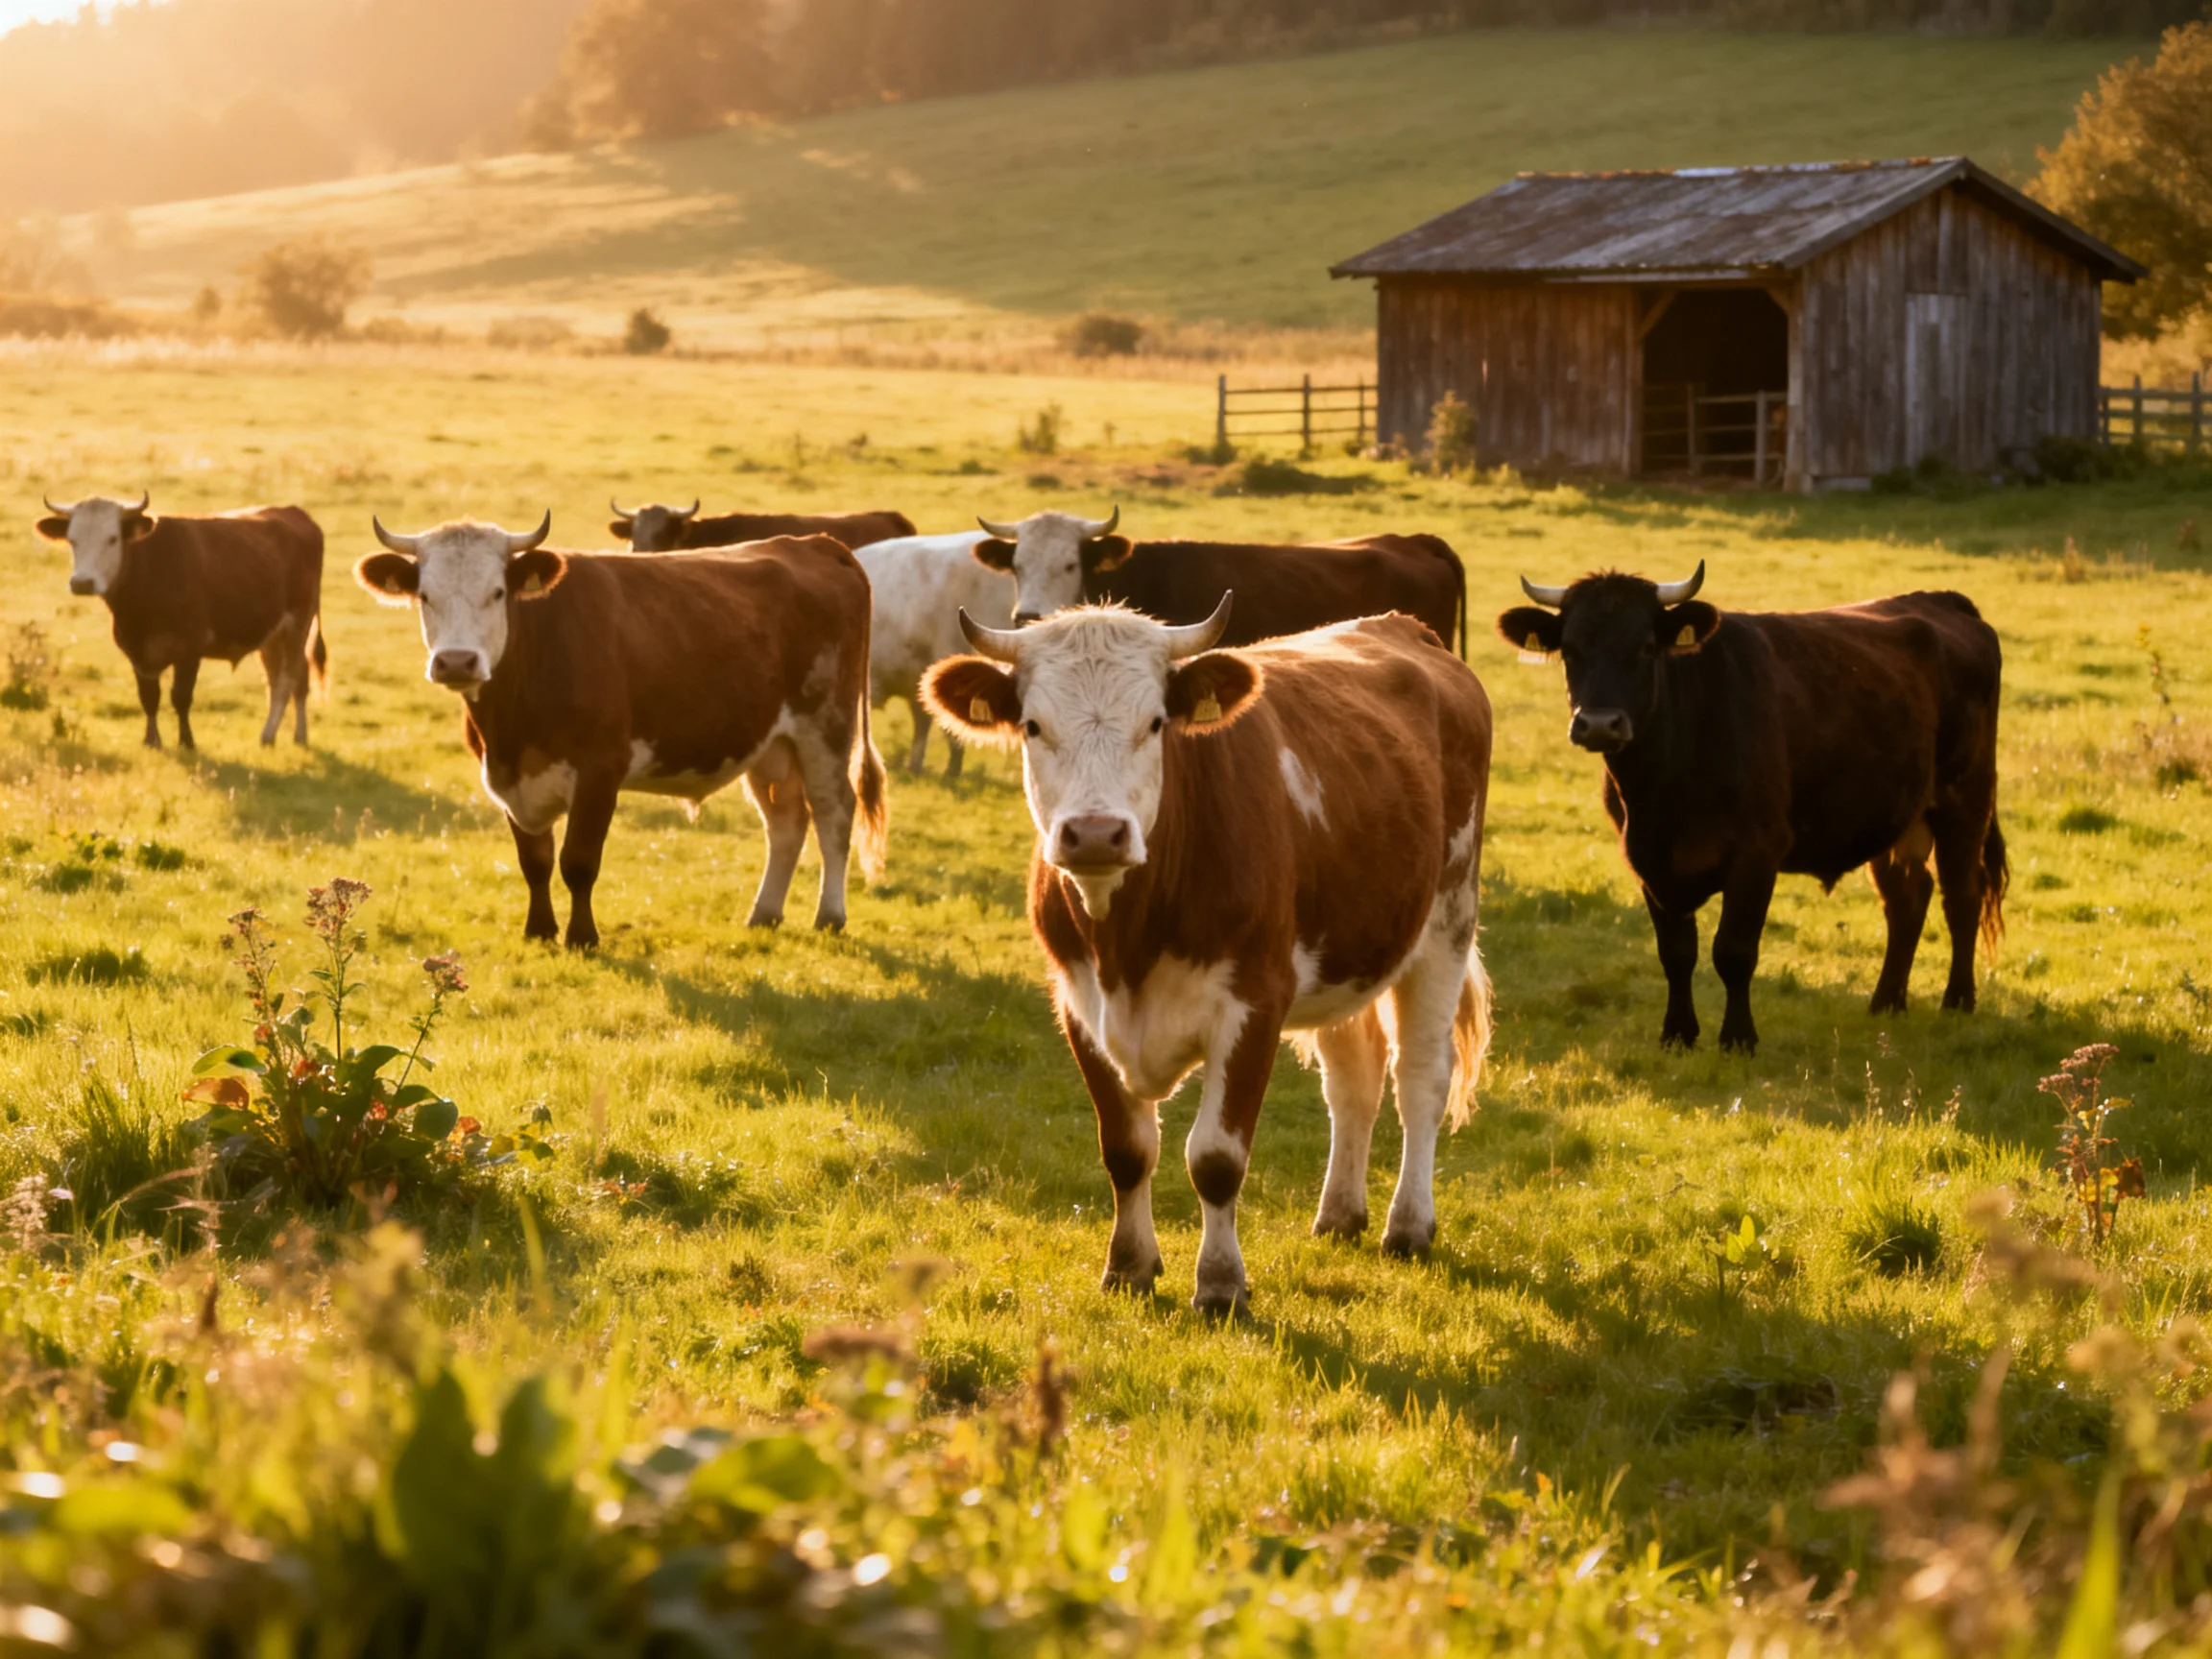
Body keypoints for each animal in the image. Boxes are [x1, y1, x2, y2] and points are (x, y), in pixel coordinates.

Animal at [37, 491, 326, 749]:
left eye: (112, 539)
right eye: (72, 540)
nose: (82, 583)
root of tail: (294, 513)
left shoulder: (190, 648)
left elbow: (181, 697)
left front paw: (187, 742)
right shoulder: (135, 650)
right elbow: (149, 697)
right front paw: (151, 741)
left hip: (299, 623)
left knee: (288, 679)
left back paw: (268, 735)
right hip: (273, 634)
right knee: (289, 679)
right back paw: (296, 735)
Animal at [355, 513, 886, 948]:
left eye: (497, 593)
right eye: (425, 596)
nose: (456, 662)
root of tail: (815, 543)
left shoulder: (599, 771)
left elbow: (578, 862)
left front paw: (582, 938)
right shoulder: (507, 776)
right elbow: (535, 860)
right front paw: (539, 930)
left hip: (826, 725)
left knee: (834, 811)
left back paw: (830, 915)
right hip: (771, 741)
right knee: (786, 820)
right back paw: (765, 913)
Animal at [924, 597, 1493, 1317]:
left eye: (1155, 723)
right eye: (1032, 724)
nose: (1095, 834)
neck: (1128, 946)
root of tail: (1400, 626)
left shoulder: (1254, 1003)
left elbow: (1216, 1158)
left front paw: (1221, 1284)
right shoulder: (1078, 1003)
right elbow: (1127, 1150)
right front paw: (1129, 1267)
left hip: (1448, 917)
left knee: (1419, 1077)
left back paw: (1409, 1225)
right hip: (1348, 949)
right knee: (1353, 1082)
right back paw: (1339, 1215)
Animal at [1496, 561, 2006, 1055]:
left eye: (1645, 647)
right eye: (1570, 650)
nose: (1600, 724)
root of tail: (1942, 600)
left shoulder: (1757, 853)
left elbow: (1734, 951)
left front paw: (1738, 1037)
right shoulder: (1646, 860)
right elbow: (1675, 952)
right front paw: (1677, 1034)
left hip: (1964, 798)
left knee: (1962, 895)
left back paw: (1957, 1001)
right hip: (1895, 813)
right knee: (1907, 898)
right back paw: (1886, 1003)